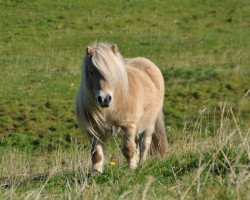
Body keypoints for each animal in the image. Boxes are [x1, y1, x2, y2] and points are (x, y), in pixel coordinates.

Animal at [75, 41, 167, 172]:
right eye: (91, 72)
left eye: (112, 73)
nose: (104, 99)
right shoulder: (93, 133)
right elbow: (96, 155)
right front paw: (96, 173)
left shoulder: (128, 127)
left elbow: (129, 150)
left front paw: (131, 170)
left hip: (149, 125)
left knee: (144, 144)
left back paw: (142, 163)